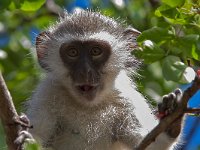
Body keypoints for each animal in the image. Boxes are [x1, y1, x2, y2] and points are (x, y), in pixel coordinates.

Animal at [26, 10, 183, 150]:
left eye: (96, 51)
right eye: (73, 52)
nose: (85, 71)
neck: (88, 107)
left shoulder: (126, 99)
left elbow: (148, 142)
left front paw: (171, 120)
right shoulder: (47, 94)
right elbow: (36, 136)